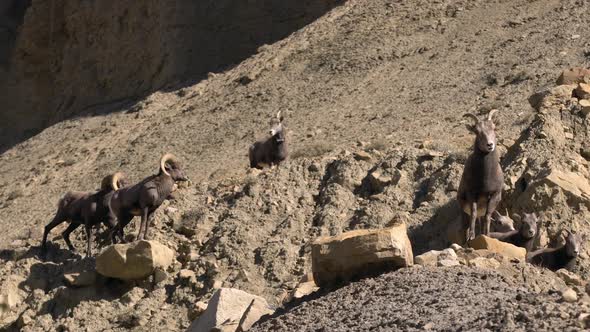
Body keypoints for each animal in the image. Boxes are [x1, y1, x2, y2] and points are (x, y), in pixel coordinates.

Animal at [458, 109, 504, 241]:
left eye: (493, 128)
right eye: (477, 132)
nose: (490, 145)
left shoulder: (494, 195)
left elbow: (487, 216)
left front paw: (486, 235)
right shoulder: (472, 194)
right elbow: (473, 213)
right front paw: (471, 236)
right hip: (463, 211)